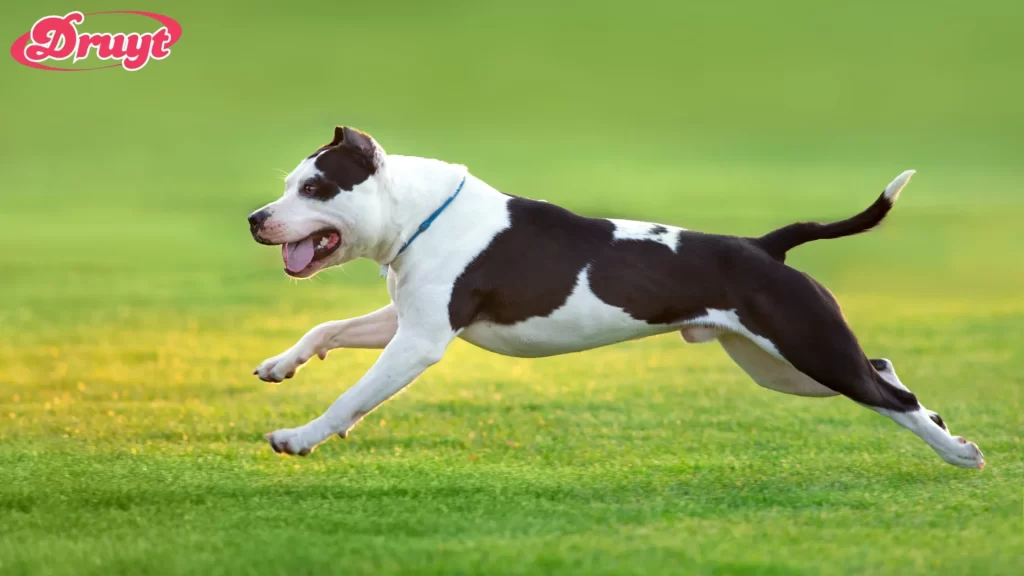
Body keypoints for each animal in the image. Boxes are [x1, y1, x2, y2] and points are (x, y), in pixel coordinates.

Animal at [245, 125, 983, 467]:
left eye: (314, 187)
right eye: (284, 184)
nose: (255, 219)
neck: (419, 215)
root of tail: (764, 245)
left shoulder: (420, 341)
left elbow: (351, 396)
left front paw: (299, 437)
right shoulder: (408, 319)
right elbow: (328, 328)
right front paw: (282, 365)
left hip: (807, 346)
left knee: (888, 394)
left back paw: (958, 452)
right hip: (780, 366)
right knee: (884, 374)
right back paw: (945, 429)